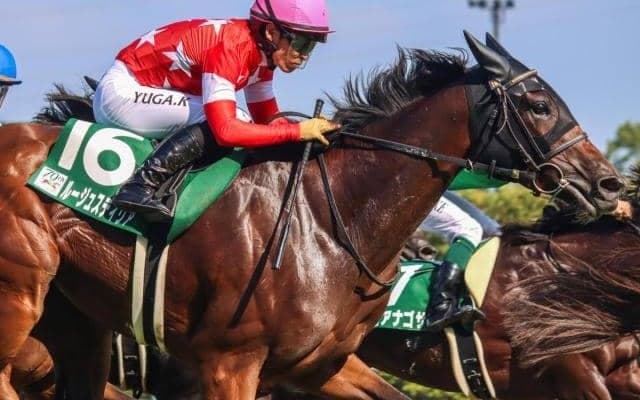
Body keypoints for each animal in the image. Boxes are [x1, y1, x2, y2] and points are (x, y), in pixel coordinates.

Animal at [0, 32, 622, 400]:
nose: (608, 182)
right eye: (539, 104)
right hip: (21, 294)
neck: (328, 219)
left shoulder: (314, 368)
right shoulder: (228, 364)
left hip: (78, 325)